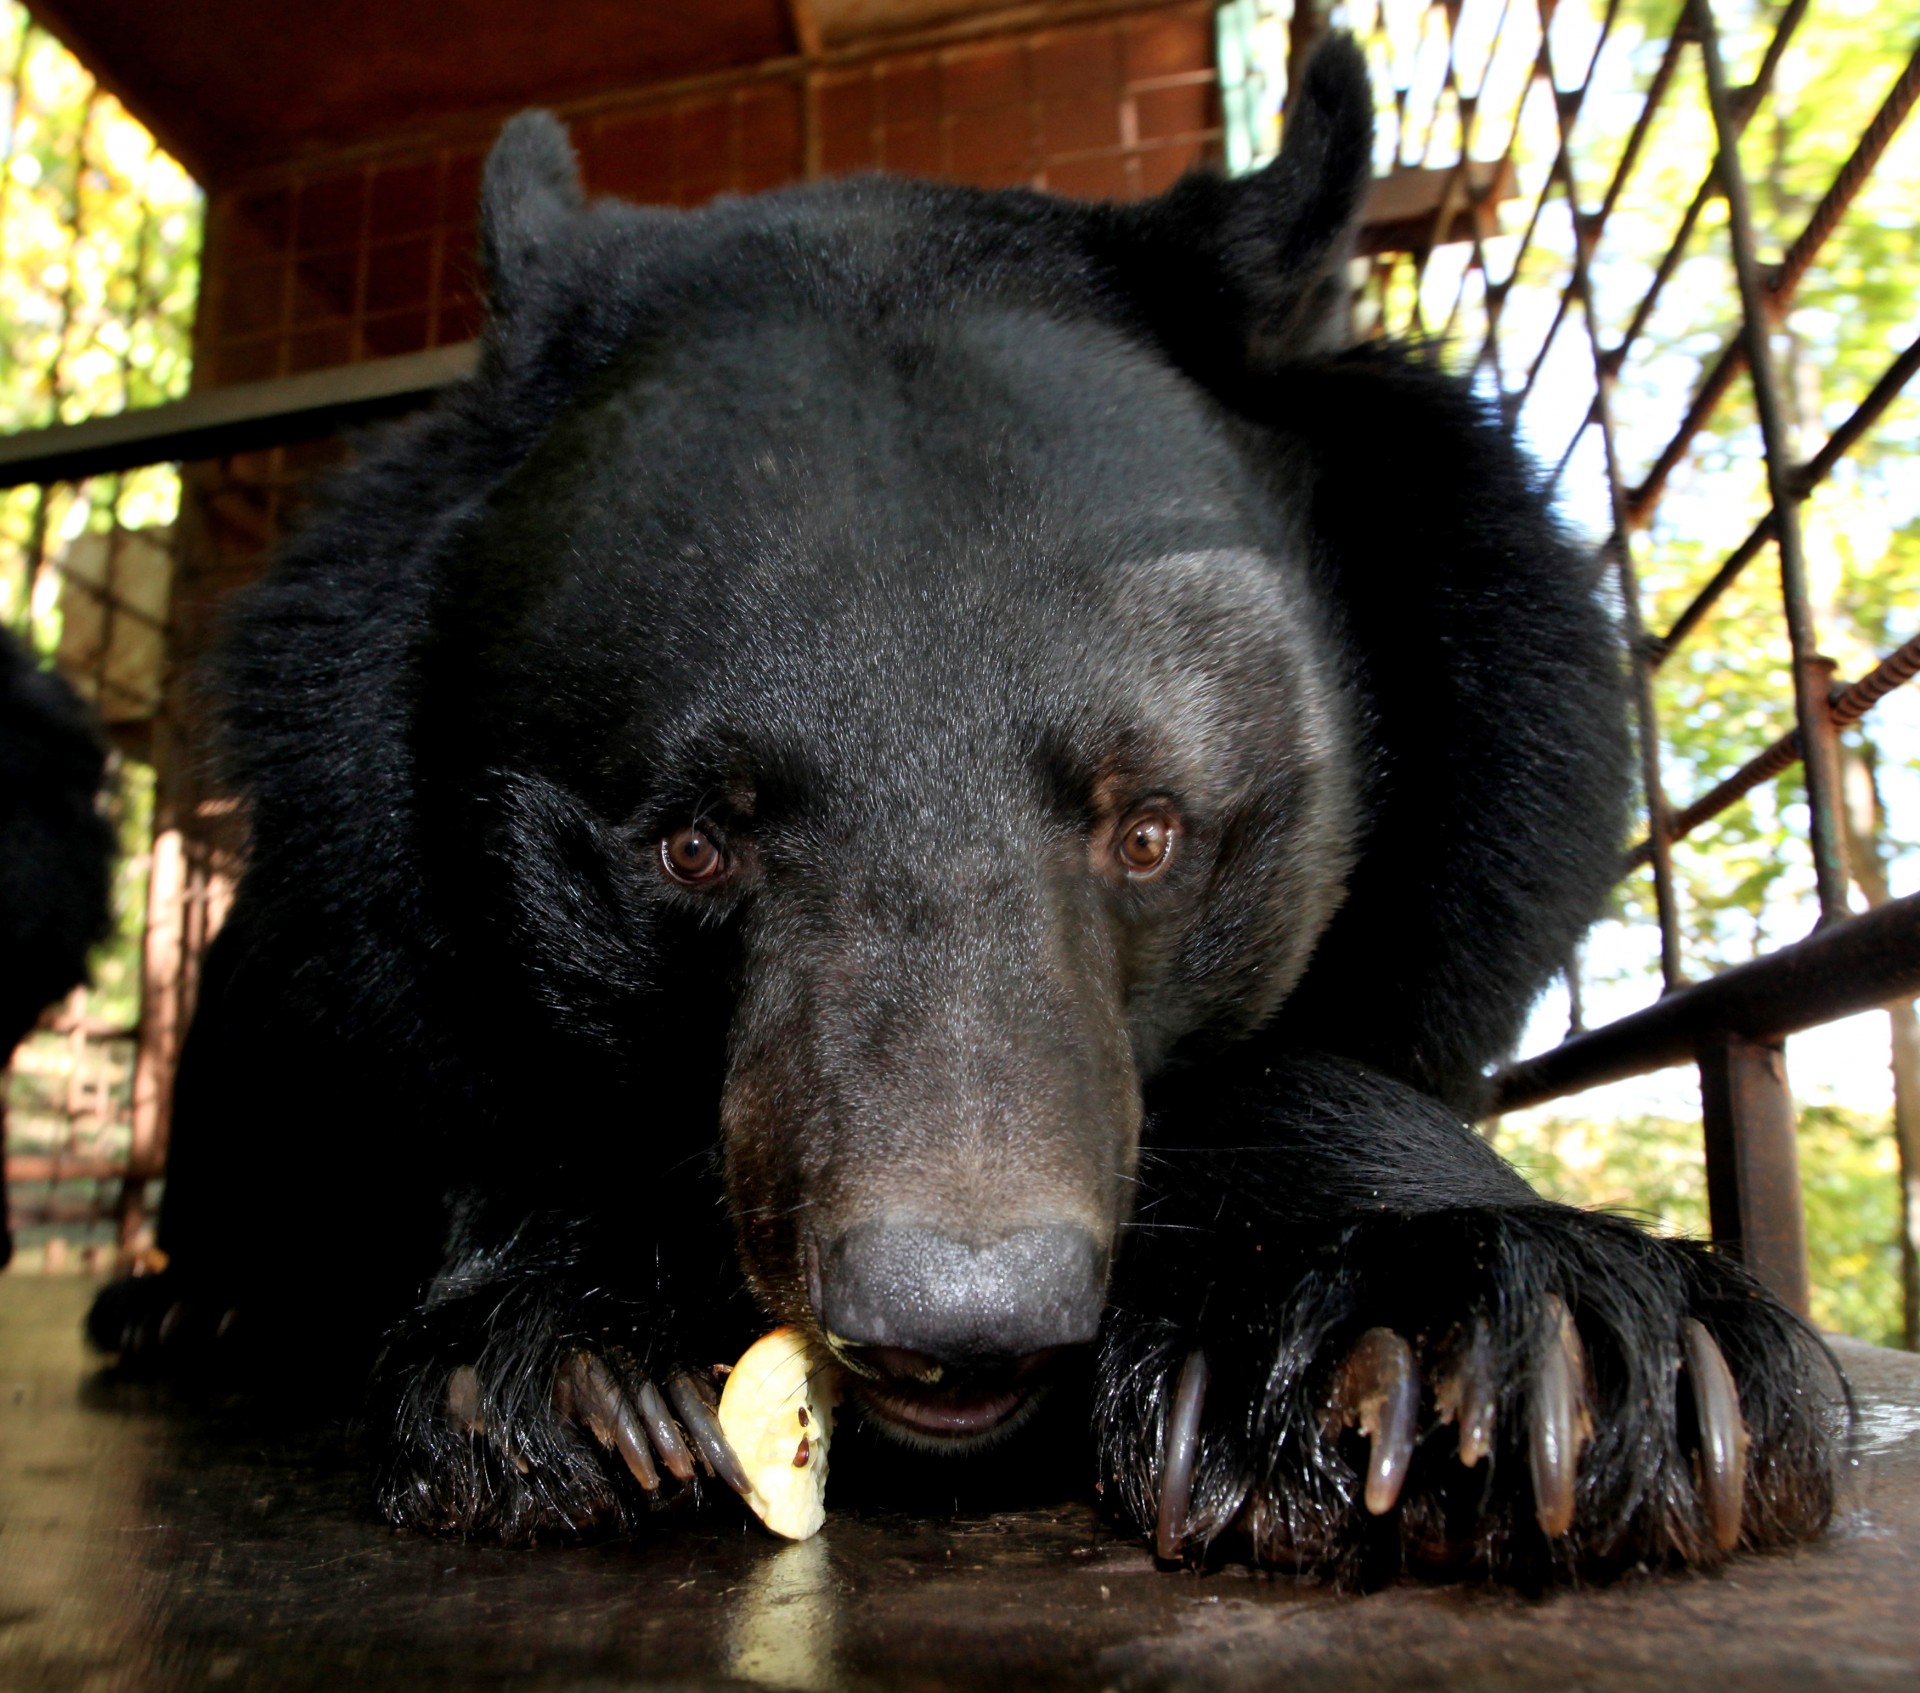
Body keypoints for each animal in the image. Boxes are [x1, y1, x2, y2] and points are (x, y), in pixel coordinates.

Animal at [93, 39, 1843, 1581]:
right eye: (690, 842)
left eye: (1150, 831)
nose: (959, 1321)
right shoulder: (371, 901)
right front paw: (562, 1368)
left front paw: (1510, 1339)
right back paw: (189, 1307)